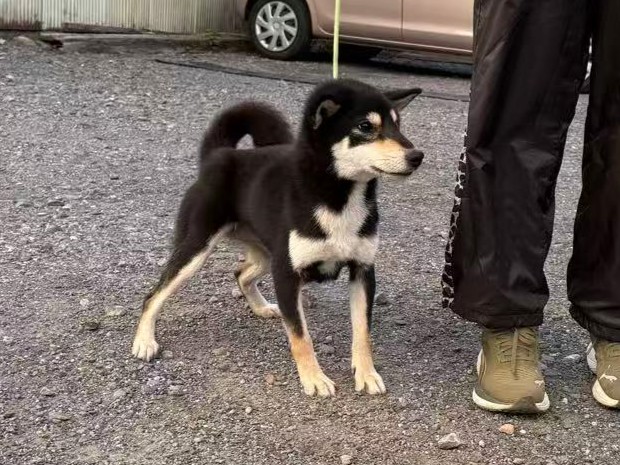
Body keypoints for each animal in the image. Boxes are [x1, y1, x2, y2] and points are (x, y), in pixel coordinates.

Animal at [132, 79, 423, 397]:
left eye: (398, 125)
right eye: (365, 126)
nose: (417, 156)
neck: (339, 198)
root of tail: (219, 154)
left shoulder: (362, 271)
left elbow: (362, 332)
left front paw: (366, 373)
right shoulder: (287, 274)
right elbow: (300, 336)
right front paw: (314, 378)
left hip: (267, 254)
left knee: (241, 272)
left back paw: (260, 307)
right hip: (197, 248)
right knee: (153, 295)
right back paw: (144, 341)